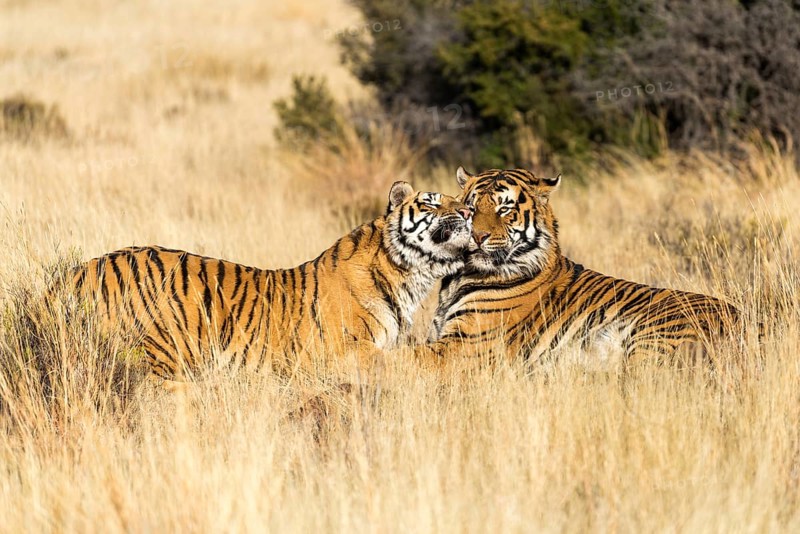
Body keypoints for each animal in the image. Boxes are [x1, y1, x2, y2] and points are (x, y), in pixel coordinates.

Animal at [58, 181, 473, 380]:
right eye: (433, 202)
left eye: (460, 199)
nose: (469, 211)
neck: (407, 276)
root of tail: (76, 272)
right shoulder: (340, 353)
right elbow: (402, 362)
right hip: (159, 351)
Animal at [423, 167, 741, 369]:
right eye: (471, 208)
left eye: (505, 209)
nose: (477, 236)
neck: (459, 278)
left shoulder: (464, 345)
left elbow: (411, 360)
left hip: (650, 339)